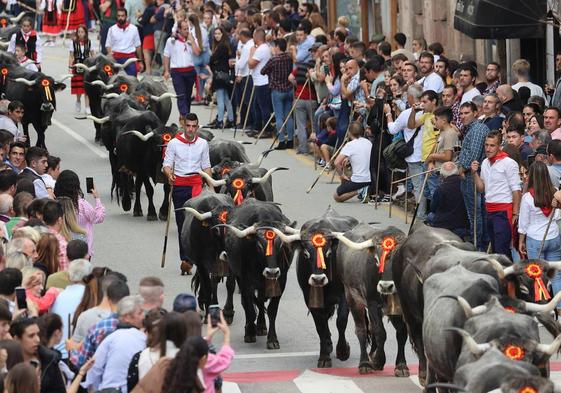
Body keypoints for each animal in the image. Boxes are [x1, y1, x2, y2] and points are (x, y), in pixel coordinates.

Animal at [221, 201, 296, 348]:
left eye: (280, 245)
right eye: (259, 246)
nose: (272, 272)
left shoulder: (281, 280)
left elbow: (272, 310)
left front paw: (272, 339)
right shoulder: (245, 281)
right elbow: (249, 307)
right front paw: (250, 332)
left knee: (260, 301)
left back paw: (261, 325)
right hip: (233, 270)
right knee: (231, 287)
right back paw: (229, 313)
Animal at [266, 208, 354, 368]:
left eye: (329, 253)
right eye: (306, 254)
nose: (318, 279)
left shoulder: (344, 295)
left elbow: (341, 321)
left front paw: (343, 351)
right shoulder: (310, 299)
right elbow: (321, 325)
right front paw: (324, 356)